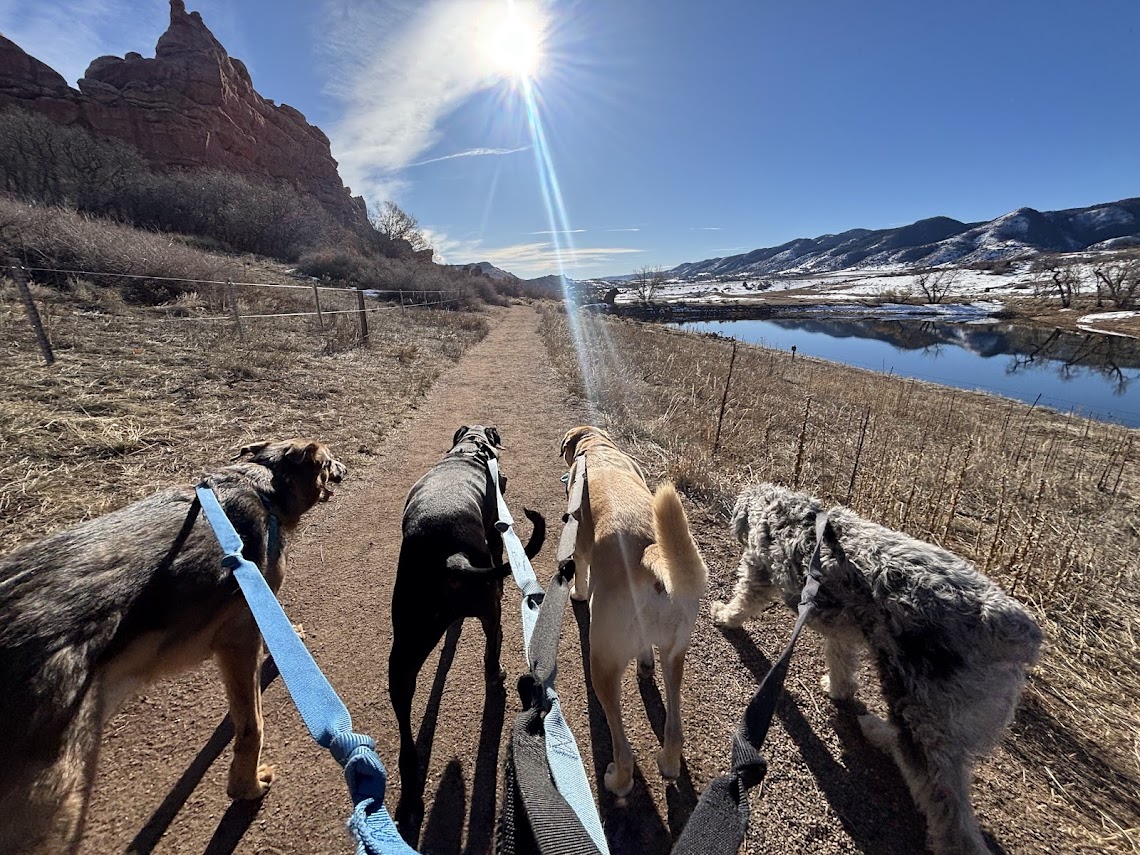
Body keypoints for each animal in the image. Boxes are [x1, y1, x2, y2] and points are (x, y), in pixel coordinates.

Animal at [0, 442, 344, 855]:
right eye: (328, 462)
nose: (344, 469)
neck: (264, 483)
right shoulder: (240, 635)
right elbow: (251, 726)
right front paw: (246, 788)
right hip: (62, 809)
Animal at [389, 426, 544, 839]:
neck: (469, 450)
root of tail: (450, 560)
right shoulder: (494, 526)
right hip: (490, 610)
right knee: (492, 648)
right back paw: (498, 675)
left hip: (404, 651)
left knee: (406, 738)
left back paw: (410, 799)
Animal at [558, 426, 706, 802]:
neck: (596, 449)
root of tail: (649, 557)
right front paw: (644, 663)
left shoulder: (579, 546)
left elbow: (580, 570)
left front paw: (578, 594)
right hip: (675, 654)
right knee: (675, 730)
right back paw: (668, 762)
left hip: (602, 665)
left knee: (623, 750)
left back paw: (617, 780)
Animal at [711, 485, 1044, 852]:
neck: (781, 510)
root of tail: (1016, 631)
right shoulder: (842, 628)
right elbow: (841, 663)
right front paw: (838, 688)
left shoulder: (758, 571)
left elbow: (742, 602)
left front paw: (723, 615)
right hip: (932, 720)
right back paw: (875, 730)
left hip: (919, 709)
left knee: (949, 811)